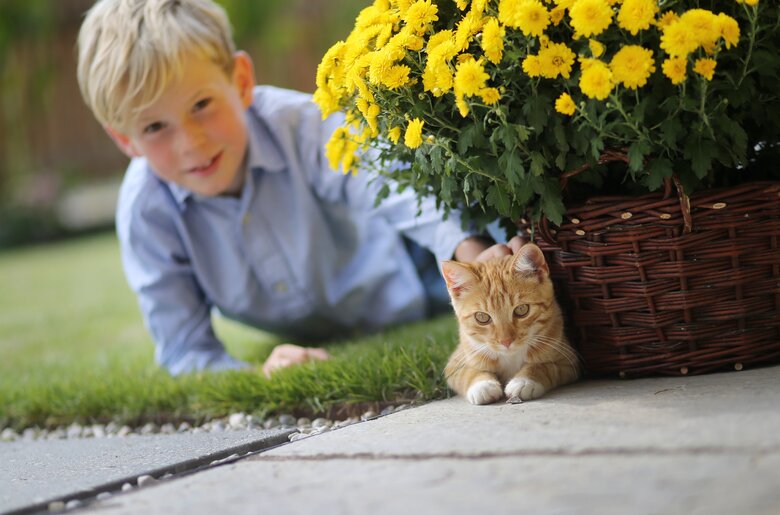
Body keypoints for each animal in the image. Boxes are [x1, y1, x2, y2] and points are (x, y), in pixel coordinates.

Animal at [442, 244, 576, 406]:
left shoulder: (569, 362)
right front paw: (482, 385)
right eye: (482, 317)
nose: (506, 341)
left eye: (521, 310)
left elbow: (545, 366)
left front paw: (524, 381)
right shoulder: (454, 364)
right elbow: (467, 372)